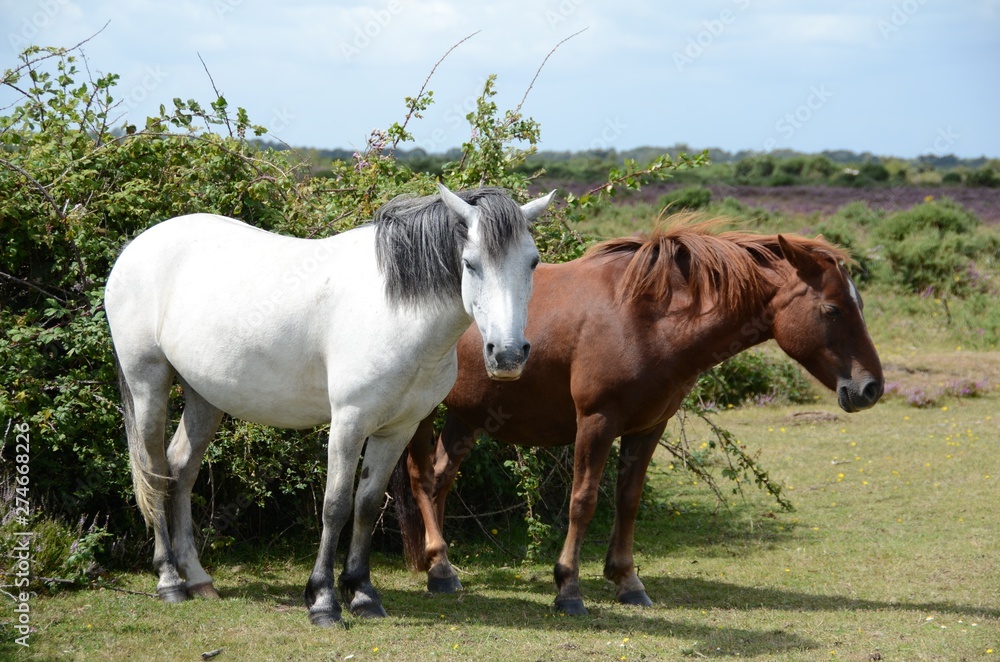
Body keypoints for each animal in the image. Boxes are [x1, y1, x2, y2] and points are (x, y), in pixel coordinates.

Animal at [107, 185, 556, 628]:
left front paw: (362, 594)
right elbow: (336, 506)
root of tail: (135, 248)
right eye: (470, 263)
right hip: (148, 383)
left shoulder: (397, 430)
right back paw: (169, 580)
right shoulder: (349, 424)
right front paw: (323, 601)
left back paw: (198, 578)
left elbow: (367, 506)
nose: (508, 355)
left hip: (204, 396)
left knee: (181, 469)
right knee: (155, 472)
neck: (394, 311)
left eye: (533, 262)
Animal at [394, 222, 880, 616]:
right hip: (424, 411)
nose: (870, 388)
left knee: (441, 479)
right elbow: (583, 501)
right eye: (832, 309)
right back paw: (440, 567)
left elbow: (628, 500)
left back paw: (439, 565)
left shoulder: (647, 428)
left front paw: (627, 582)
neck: (645, 319)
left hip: (466, 416)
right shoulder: (596, 423)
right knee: (422, 477)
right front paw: (568, 588)